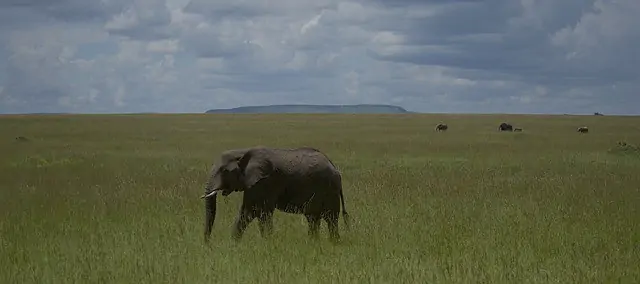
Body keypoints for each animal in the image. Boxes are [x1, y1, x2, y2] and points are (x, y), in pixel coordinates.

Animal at [200, 148, 350, 243]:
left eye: (224, 171)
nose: (208, 244)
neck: (242, 152)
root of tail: (335, 169)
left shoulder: (265, 182)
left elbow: (261, 212)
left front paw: (268, 242)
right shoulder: (253, 184)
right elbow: (247, 212)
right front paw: (234, 244)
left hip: (329, 190)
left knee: (330, 218)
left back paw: (333, 242)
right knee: (313, 218)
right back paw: (314, 242)